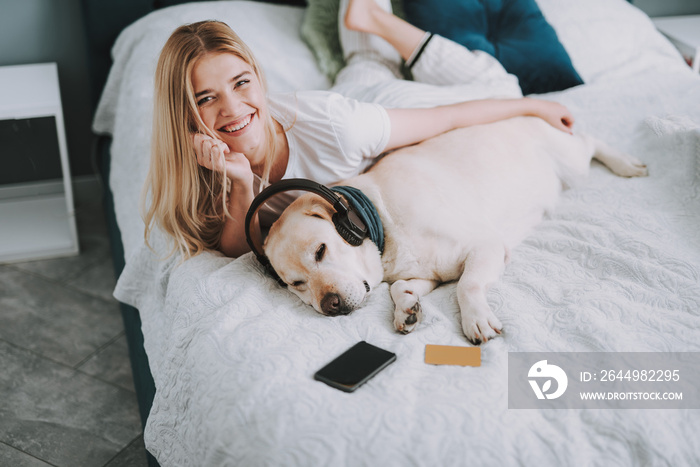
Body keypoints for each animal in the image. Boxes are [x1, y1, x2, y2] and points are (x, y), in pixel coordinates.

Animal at [262, 117, 644, 344]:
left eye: (321, 250)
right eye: (296, 284)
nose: (331, 306)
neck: (380, 222)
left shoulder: (486, 247)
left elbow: (466, 285)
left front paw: (476, 318)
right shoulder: (424, 274)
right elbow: (399, 288)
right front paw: (407, 309)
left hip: (574, 166)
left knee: (590, 140)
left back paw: (626, 163)